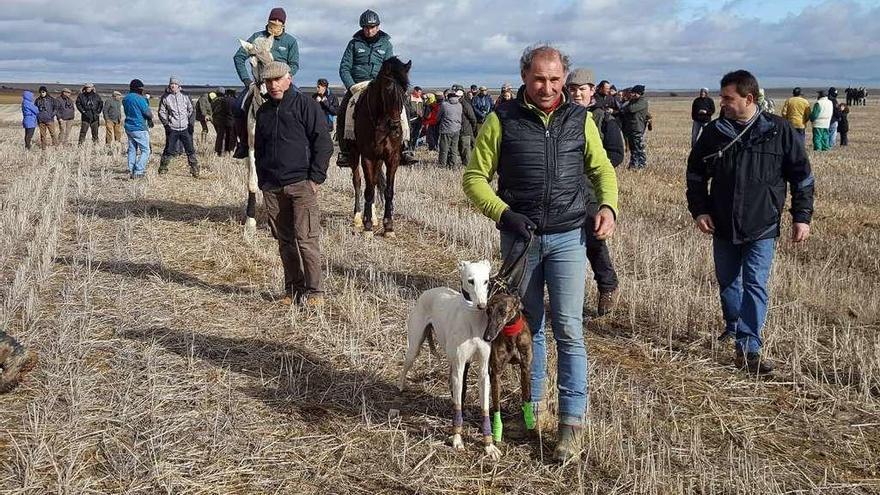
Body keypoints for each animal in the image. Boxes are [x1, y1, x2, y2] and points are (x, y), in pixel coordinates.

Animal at [348, 56, 410, 238]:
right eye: (388, 89)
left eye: (405, 89)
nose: (396, 127)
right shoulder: (368, 157)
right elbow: (367, 190)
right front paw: (367, 226)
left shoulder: (392, 158)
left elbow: (388, 190)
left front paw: (388, 226)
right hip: (354, 155)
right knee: (358, 182)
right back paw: (358, 219)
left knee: (375, 182)